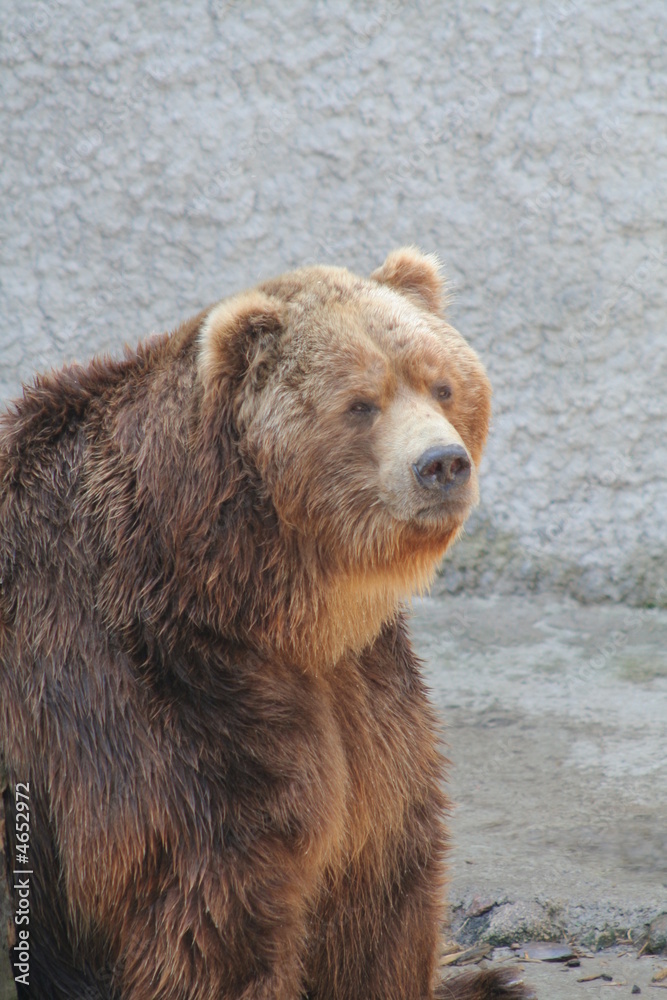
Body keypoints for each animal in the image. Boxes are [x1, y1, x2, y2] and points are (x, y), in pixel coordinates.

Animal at [0, 248, 531, 1000]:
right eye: (359, 403)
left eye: (443, 385)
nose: (441, 463)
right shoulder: (151, 686)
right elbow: (220, 897)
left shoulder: (361, 690)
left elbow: (380, 872)